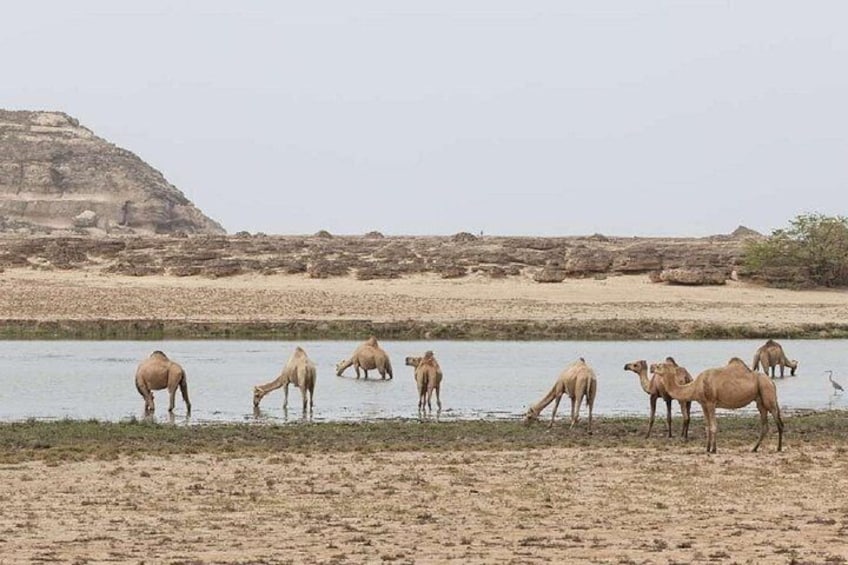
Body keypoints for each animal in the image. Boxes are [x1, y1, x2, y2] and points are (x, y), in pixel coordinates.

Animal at [652, 357, 784, 453]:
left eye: (659, 365)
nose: (651, 367)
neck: (696, 385)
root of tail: (771, 381)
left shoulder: (711, 402)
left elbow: (713, 426)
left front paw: (714, 449)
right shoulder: (703, 404)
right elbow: (707, 426)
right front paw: (707, 448)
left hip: (768, 394)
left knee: (778, 422)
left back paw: (778, 448)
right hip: (760, 400)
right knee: (764, 425)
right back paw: (754, 448)